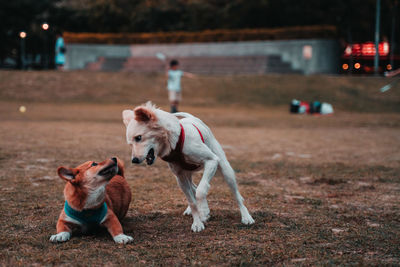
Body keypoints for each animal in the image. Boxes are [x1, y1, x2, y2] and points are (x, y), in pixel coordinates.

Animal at [122, 102, 255, 232]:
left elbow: (201, 191)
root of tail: (193, 118)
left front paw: (204, 212)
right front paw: (197, 222)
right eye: (130, 144)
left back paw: (246, 217)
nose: (134, 160)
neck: (174, 143)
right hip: (188, 174)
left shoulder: (211, 161)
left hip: (225, 170)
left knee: (235, 195)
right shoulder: (180, 177)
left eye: (138, 137)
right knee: (194, 188)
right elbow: (192, 200)